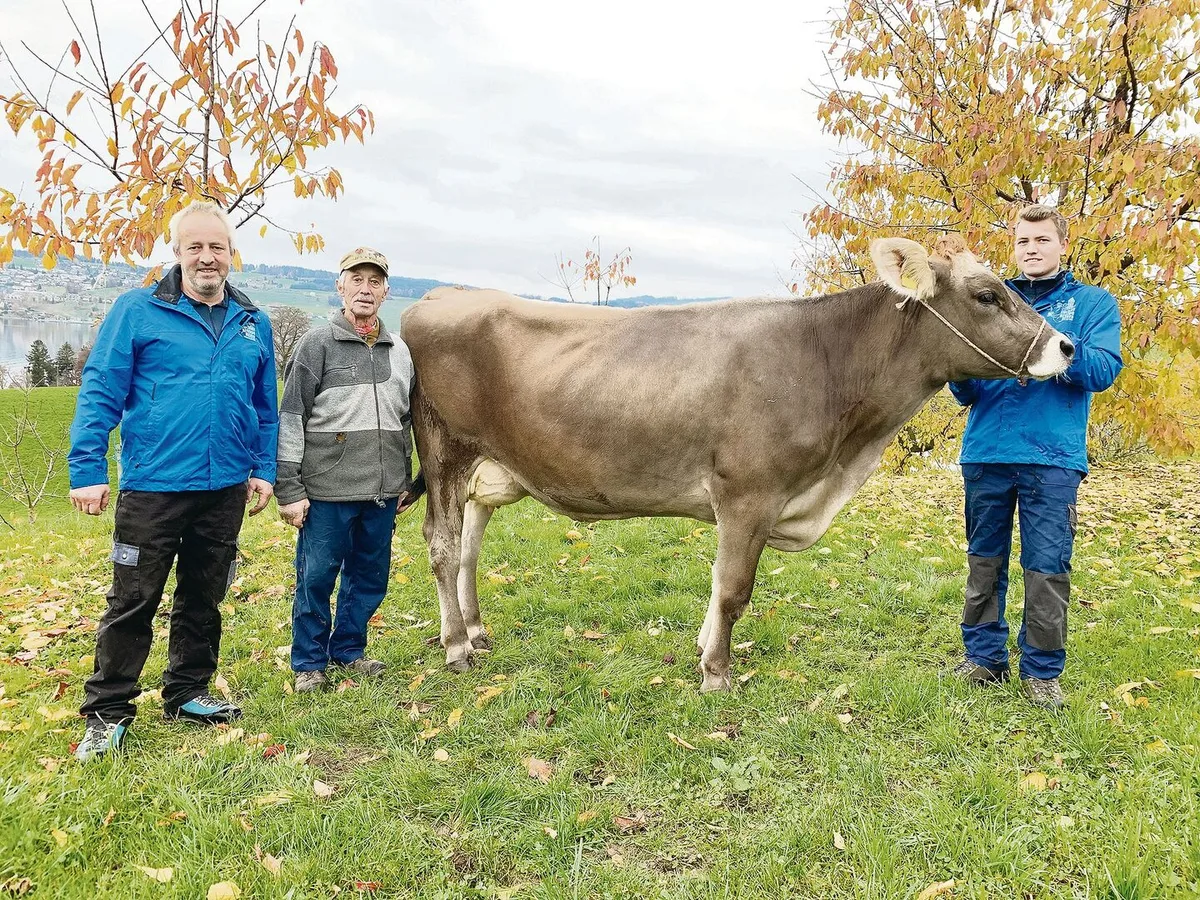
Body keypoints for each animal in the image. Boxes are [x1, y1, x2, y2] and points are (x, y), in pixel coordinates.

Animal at [400, 237, 1075, 691]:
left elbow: (720, 586)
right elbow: (733, 589)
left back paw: (477, 631)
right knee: (441, 542)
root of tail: (439, 295)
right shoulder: (750, 491)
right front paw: (717, 673)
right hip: (444, 449)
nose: (1066, 346)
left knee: (469, 545)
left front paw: (706, 652)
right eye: (986, 294)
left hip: (488, 469)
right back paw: (456, 646)